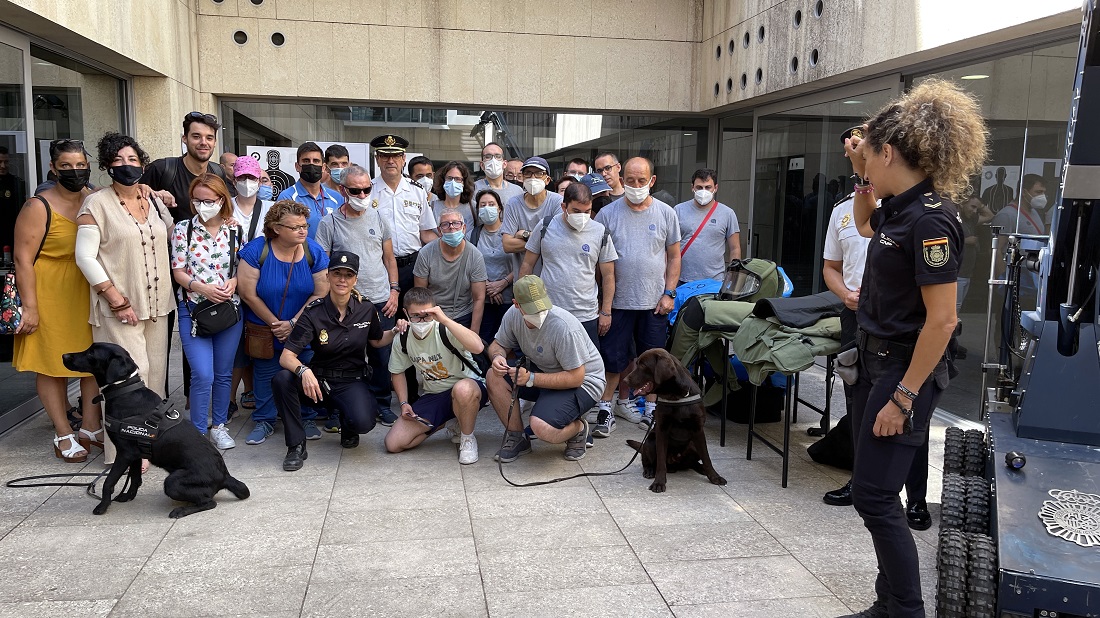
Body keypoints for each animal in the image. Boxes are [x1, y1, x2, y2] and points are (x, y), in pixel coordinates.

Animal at [62, 342, 250, 518]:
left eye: (91, 353)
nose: (64, 355)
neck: (124, 389)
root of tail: (224, 476)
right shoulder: (135, 453)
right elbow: (135, 478)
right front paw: (127, 496)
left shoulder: (124, 453)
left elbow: (108, 482)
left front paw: (102, 506)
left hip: (172, 482)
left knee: (209, 502)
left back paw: (181, 510)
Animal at [624, 348, 727, 493]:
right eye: (636, 363)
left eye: (643, 365)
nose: (625, 380)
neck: (676, 395)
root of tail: (674, 463)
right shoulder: (661, 430)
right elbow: (661, 462)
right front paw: (659, 483)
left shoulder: (698, 430)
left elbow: (707, 458)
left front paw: (714, 477)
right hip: (650, 441)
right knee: (647, 460)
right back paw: (649, 471)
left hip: (692, 445)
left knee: (693, 462)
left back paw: (701, 469)